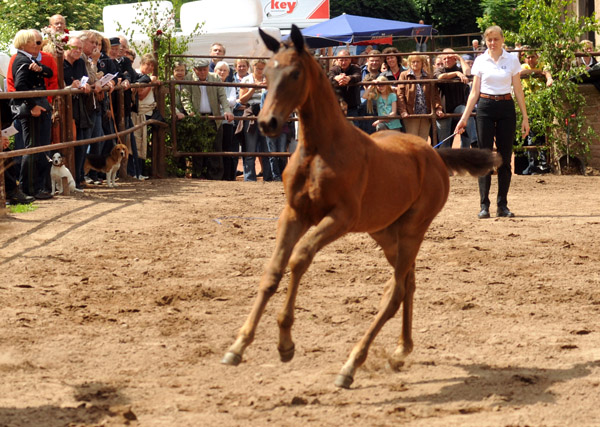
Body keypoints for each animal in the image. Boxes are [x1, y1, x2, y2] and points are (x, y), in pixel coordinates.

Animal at [223, 25, 500, 390]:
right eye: (266, 72)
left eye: (295, 73)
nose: (267, 123)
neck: (319, 151)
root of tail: (434, 154)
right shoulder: (293, 214)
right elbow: (273, 271)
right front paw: (238, 347)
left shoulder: (340, 218)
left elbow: (298, 259)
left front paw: (285, 344)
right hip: (384, 232)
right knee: (407, 284)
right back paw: (400, 351)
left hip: (412, 229)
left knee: (396, 291)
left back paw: (351, 365)